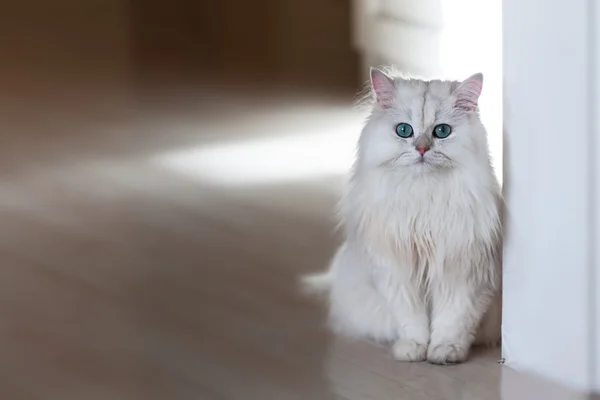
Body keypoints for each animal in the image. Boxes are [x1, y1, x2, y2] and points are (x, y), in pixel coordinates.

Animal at [304, 67, 502, 364]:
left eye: (442, 131)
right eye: (404, 130)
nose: (421, 149)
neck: (423, 198)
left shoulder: (464, 275)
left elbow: (452, 320)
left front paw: (444, 352)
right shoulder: (396, 274)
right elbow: (413, 320)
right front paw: (413, 349)